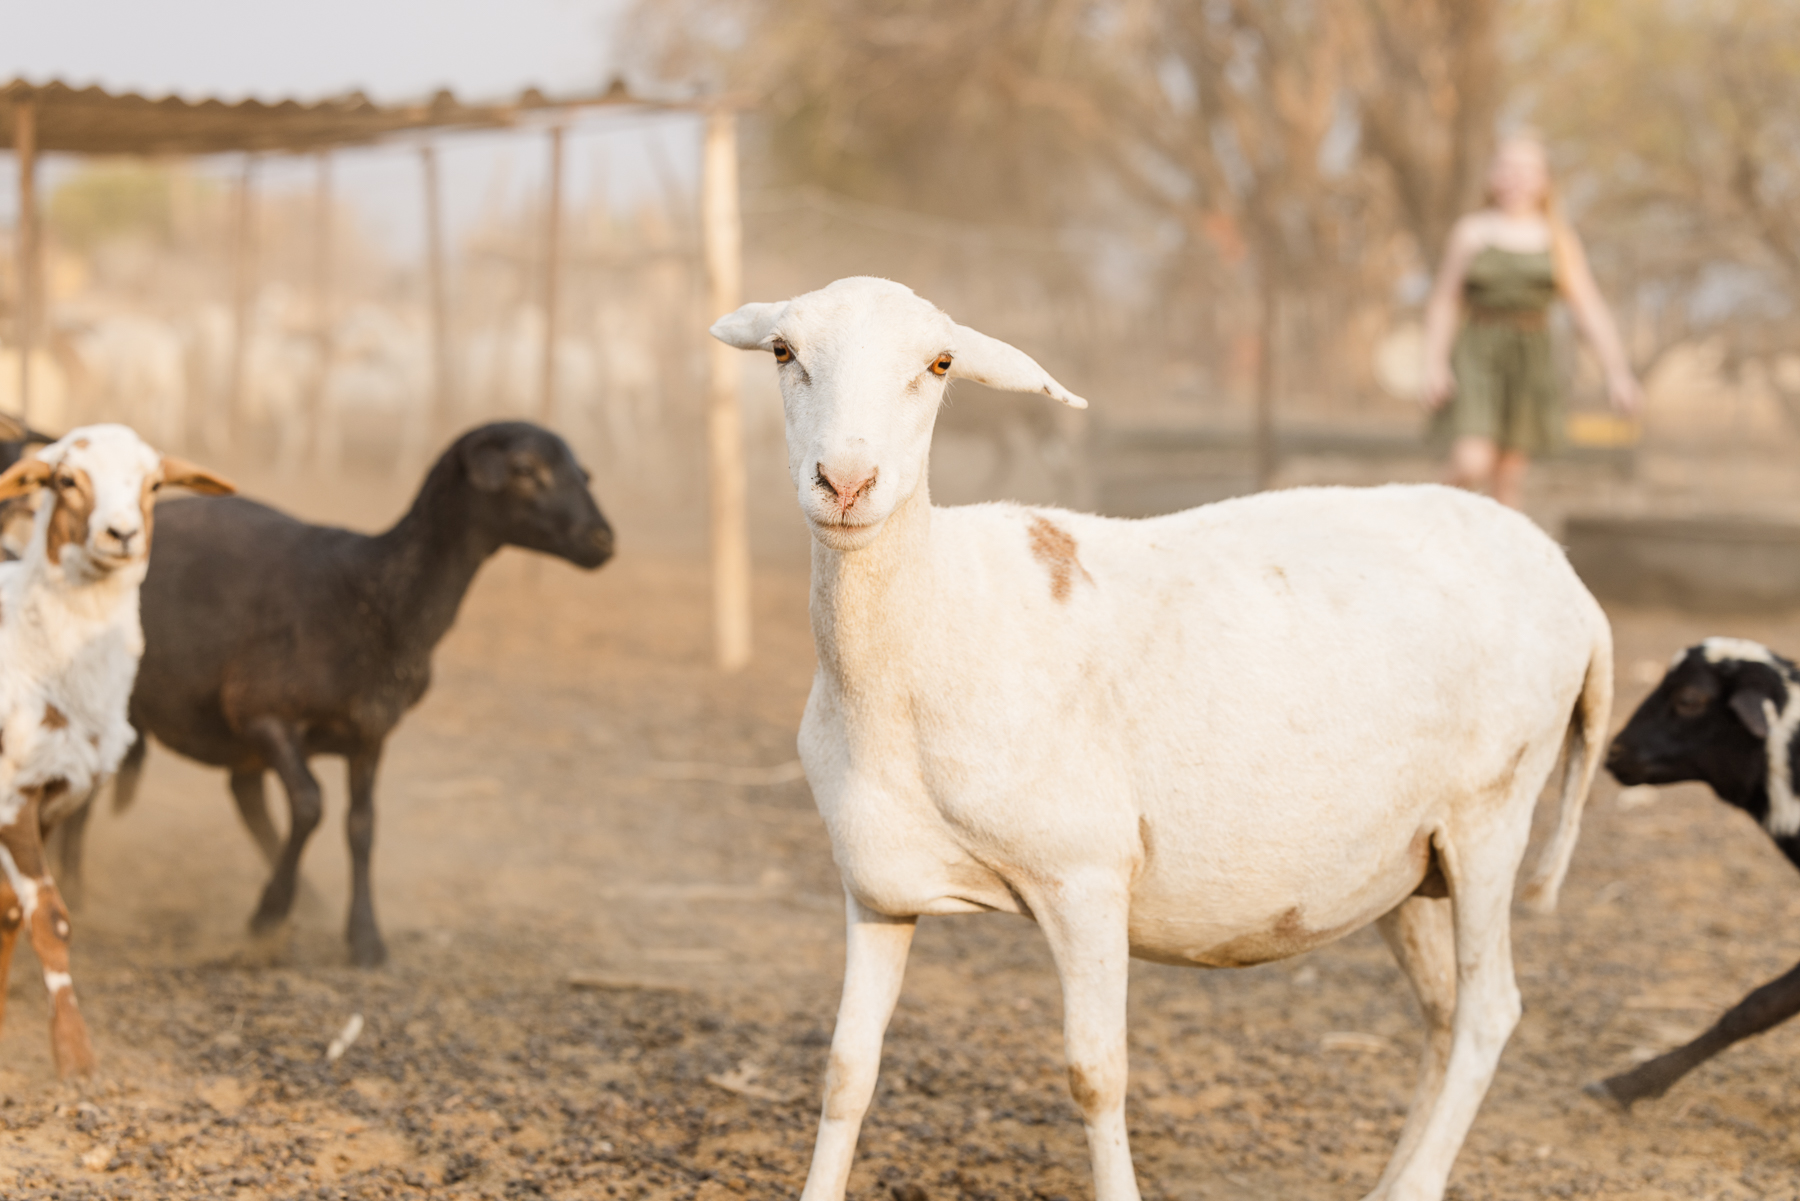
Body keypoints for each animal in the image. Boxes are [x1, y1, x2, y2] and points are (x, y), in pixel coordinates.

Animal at [0, 424, 232, 1080]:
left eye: (153, 485)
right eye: (65, 480)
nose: (121, 533)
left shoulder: (57, 795)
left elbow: (14, 913)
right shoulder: (12, 793)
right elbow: (50, 918)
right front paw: (75, 1056)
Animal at [716, 277, 1620, 1201]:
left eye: (939, 364)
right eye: (784, 351)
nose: (846, 481)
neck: (930, 626)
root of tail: (1577, 590)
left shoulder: (1086, 874)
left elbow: (1095, 1073)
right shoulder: (878, 886)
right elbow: (847, 1068)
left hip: (1491, 813)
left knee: (1487, 1012)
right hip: (1406, 859)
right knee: (1442, 1013)